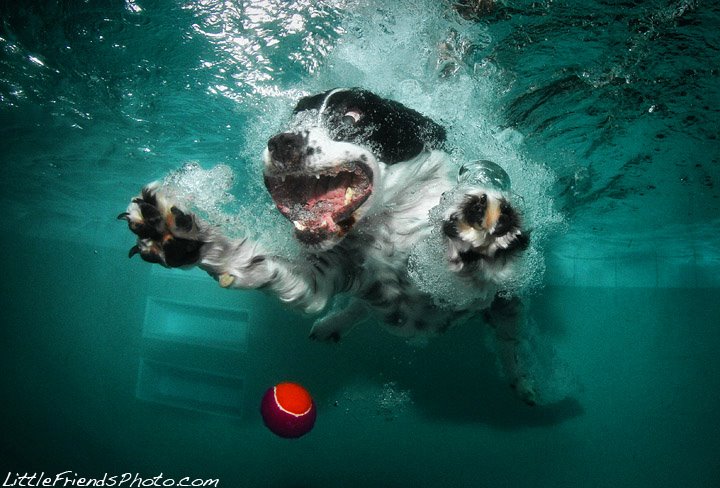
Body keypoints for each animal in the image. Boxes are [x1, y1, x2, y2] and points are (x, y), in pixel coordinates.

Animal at [118, 87, 536, 404]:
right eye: (294, 120)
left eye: (352, 116)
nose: (281, 141)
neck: (384, 227)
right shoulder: (317, 280)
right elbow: (257, 265)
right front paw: (178, 234)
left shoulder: (455, 290)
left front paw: (481, 226)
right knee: (360, 308)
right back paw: (332, 324)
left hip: (509, 307)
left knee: (509, 343)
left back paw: (521, 383)